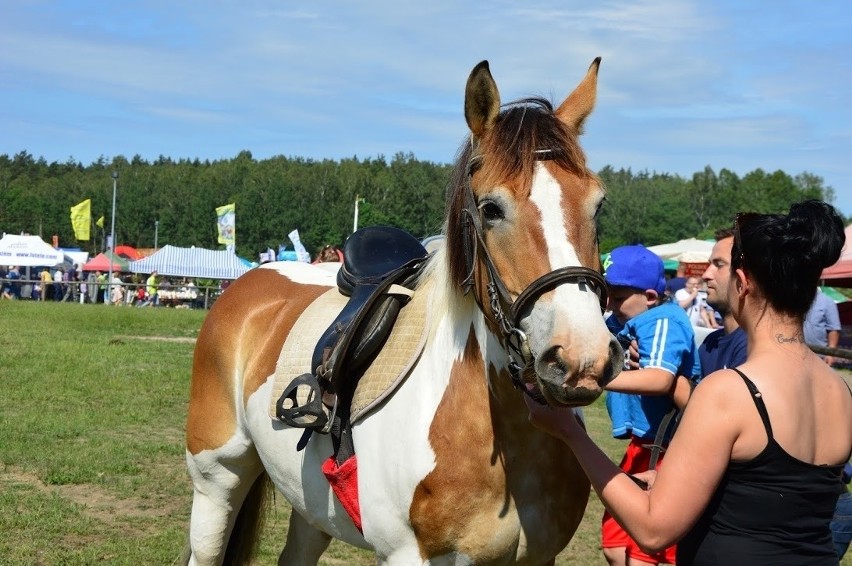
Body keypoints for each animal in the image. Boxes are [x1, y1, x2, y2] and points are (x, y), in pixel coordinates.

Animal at [185, 58, 620, 566]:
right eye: (491, 208)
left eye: (598, 204)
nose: (581, 358)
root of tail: (248, 284)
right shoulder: (406, 554)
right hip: (217, 479)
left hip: (311, 507)